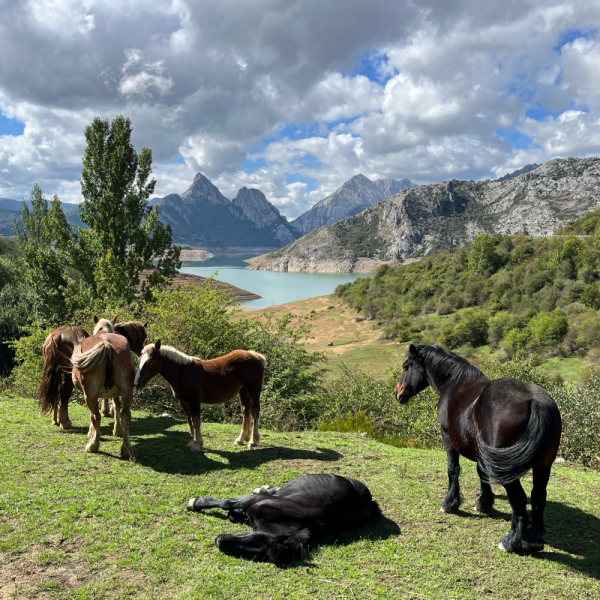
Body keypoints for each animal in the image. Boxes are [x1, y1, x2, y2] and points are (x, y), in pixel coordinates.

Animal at [71, 332, 135, 460]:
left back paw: (93, 446)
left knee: (95, 416)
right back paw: (126, 449)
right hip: (127, 390)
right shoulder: (116, 393)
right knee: (126, 416)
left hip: (90, 393)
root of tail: (106, 344)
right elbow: (116, 407)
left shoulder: (92, 394)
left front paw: (91, 433)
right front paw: (118, 430)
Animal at [137, 340, 268, 452]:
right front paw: (192, 442)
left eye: (150, 361)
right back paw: (240, 439)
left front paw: (197, 445)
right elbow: (190, 420)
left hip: (254, 390)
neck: (183, 372)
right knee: (246, 411)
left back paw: (253, 441)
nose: (137, 382)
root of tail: (255, 355)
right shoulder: (184, 402)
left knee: (255, 411)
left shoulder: (194, 401)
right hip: (243, 391)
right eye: (140, 359)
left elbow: (196, 421)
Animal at [188, 474, 380, 568]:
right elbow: (228, 506)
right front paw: (195, 503)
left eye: (256, 555)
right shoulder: (254, 501)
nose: (219, 541)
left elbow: (228, 506)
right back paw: (265, 488)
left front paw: (195, 502)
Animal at [394, 344, 564, 556]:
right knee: (538, 495)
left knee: (518, 498)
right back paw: (535, 538)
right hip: (543, 466)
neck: (455, 383)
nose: (397, 393)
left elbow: (453, 469)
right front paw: (484, 502)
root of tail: (534, 401)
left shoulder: (447, 438)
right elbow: (481, 472)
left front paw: (450, 504)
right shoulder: (482, 452)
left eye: (406, 366)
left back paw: (512, 542)